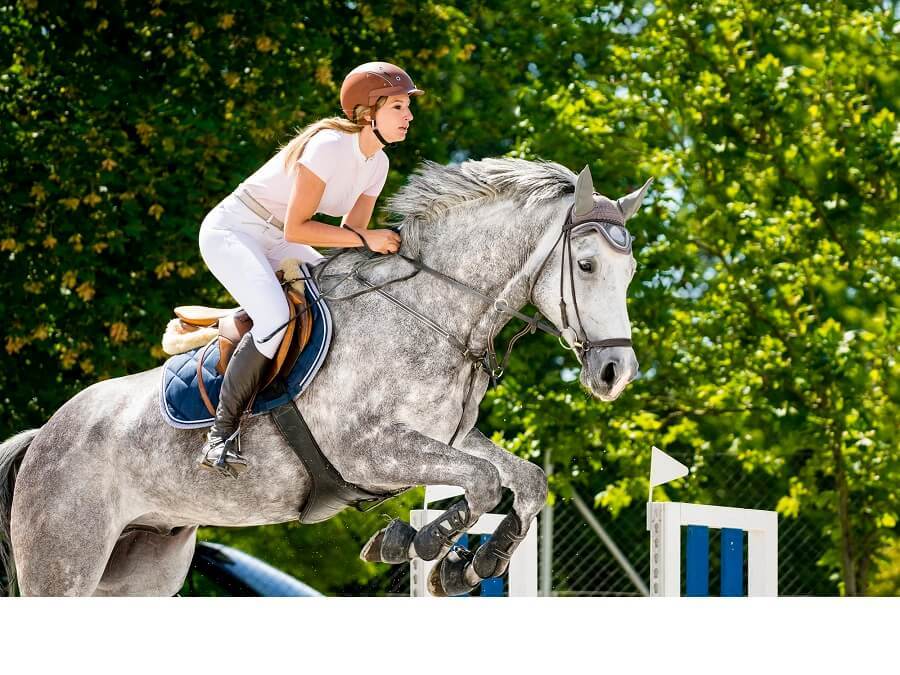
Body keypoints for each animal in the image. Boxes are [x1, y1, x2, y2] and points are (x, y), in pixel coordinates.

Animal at [0, 158, 652, 596]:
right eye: (586, 265)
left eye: (630, 271)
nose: (615, 373)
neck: (435, 311)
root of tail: (42, 438)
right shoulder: (367, 450)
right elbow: (485, 482)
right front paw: (424, 546)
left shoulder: (448, 439)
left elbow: (525, 480)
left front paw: (474, 563)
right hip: (67, 562)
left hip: (144, 565)